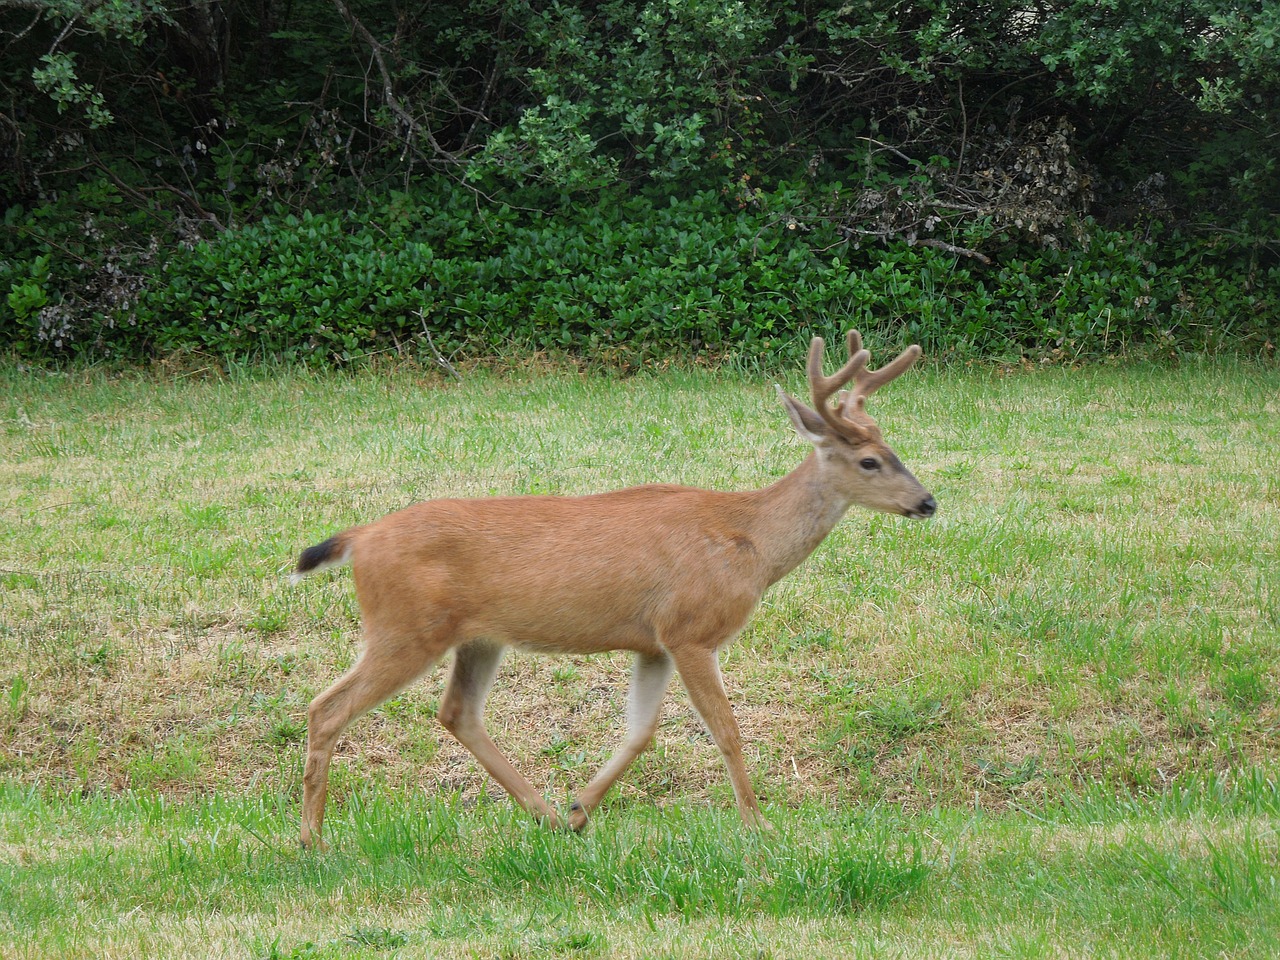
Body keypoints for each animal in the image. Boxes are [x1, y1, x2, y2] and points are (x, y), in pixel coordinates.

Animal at [293, 330, 931, 849]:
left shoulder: (653, 642)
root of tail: (360, 538)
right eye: (870, 461)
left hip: (477, 637)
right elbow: (726, 731)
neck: (749, 542)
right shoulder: (691, 628)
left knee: (457, 712)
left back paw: (548, 816)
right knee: (327, 708)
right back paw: (313, 841)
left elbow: (641, 732)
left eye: (895, 451)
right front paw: (759, 826)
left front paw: (581, 809)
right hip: (404, 626)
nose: (926, 501)